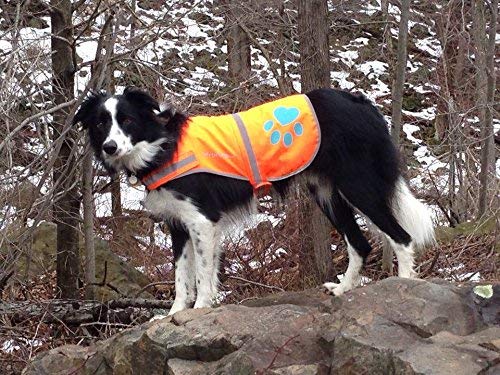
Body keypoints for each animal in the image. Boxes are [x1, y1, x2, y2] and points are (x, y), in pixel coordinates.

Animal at [73, 86, 434, 316]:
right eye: (101, 123)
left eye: (127, 121)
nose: (109, 147)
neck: (161, 146)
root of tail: (360, 101)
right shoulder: (179, 225)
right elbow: (181, 277)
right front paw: (174, 314)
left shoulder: (203, 221)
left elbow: (201, 274)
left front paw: (200, 309)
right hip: (326, 195)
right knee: (360, 243)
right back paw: (343, 290)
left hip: (359, 186)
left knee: (401, 237)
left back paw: (402, 288)